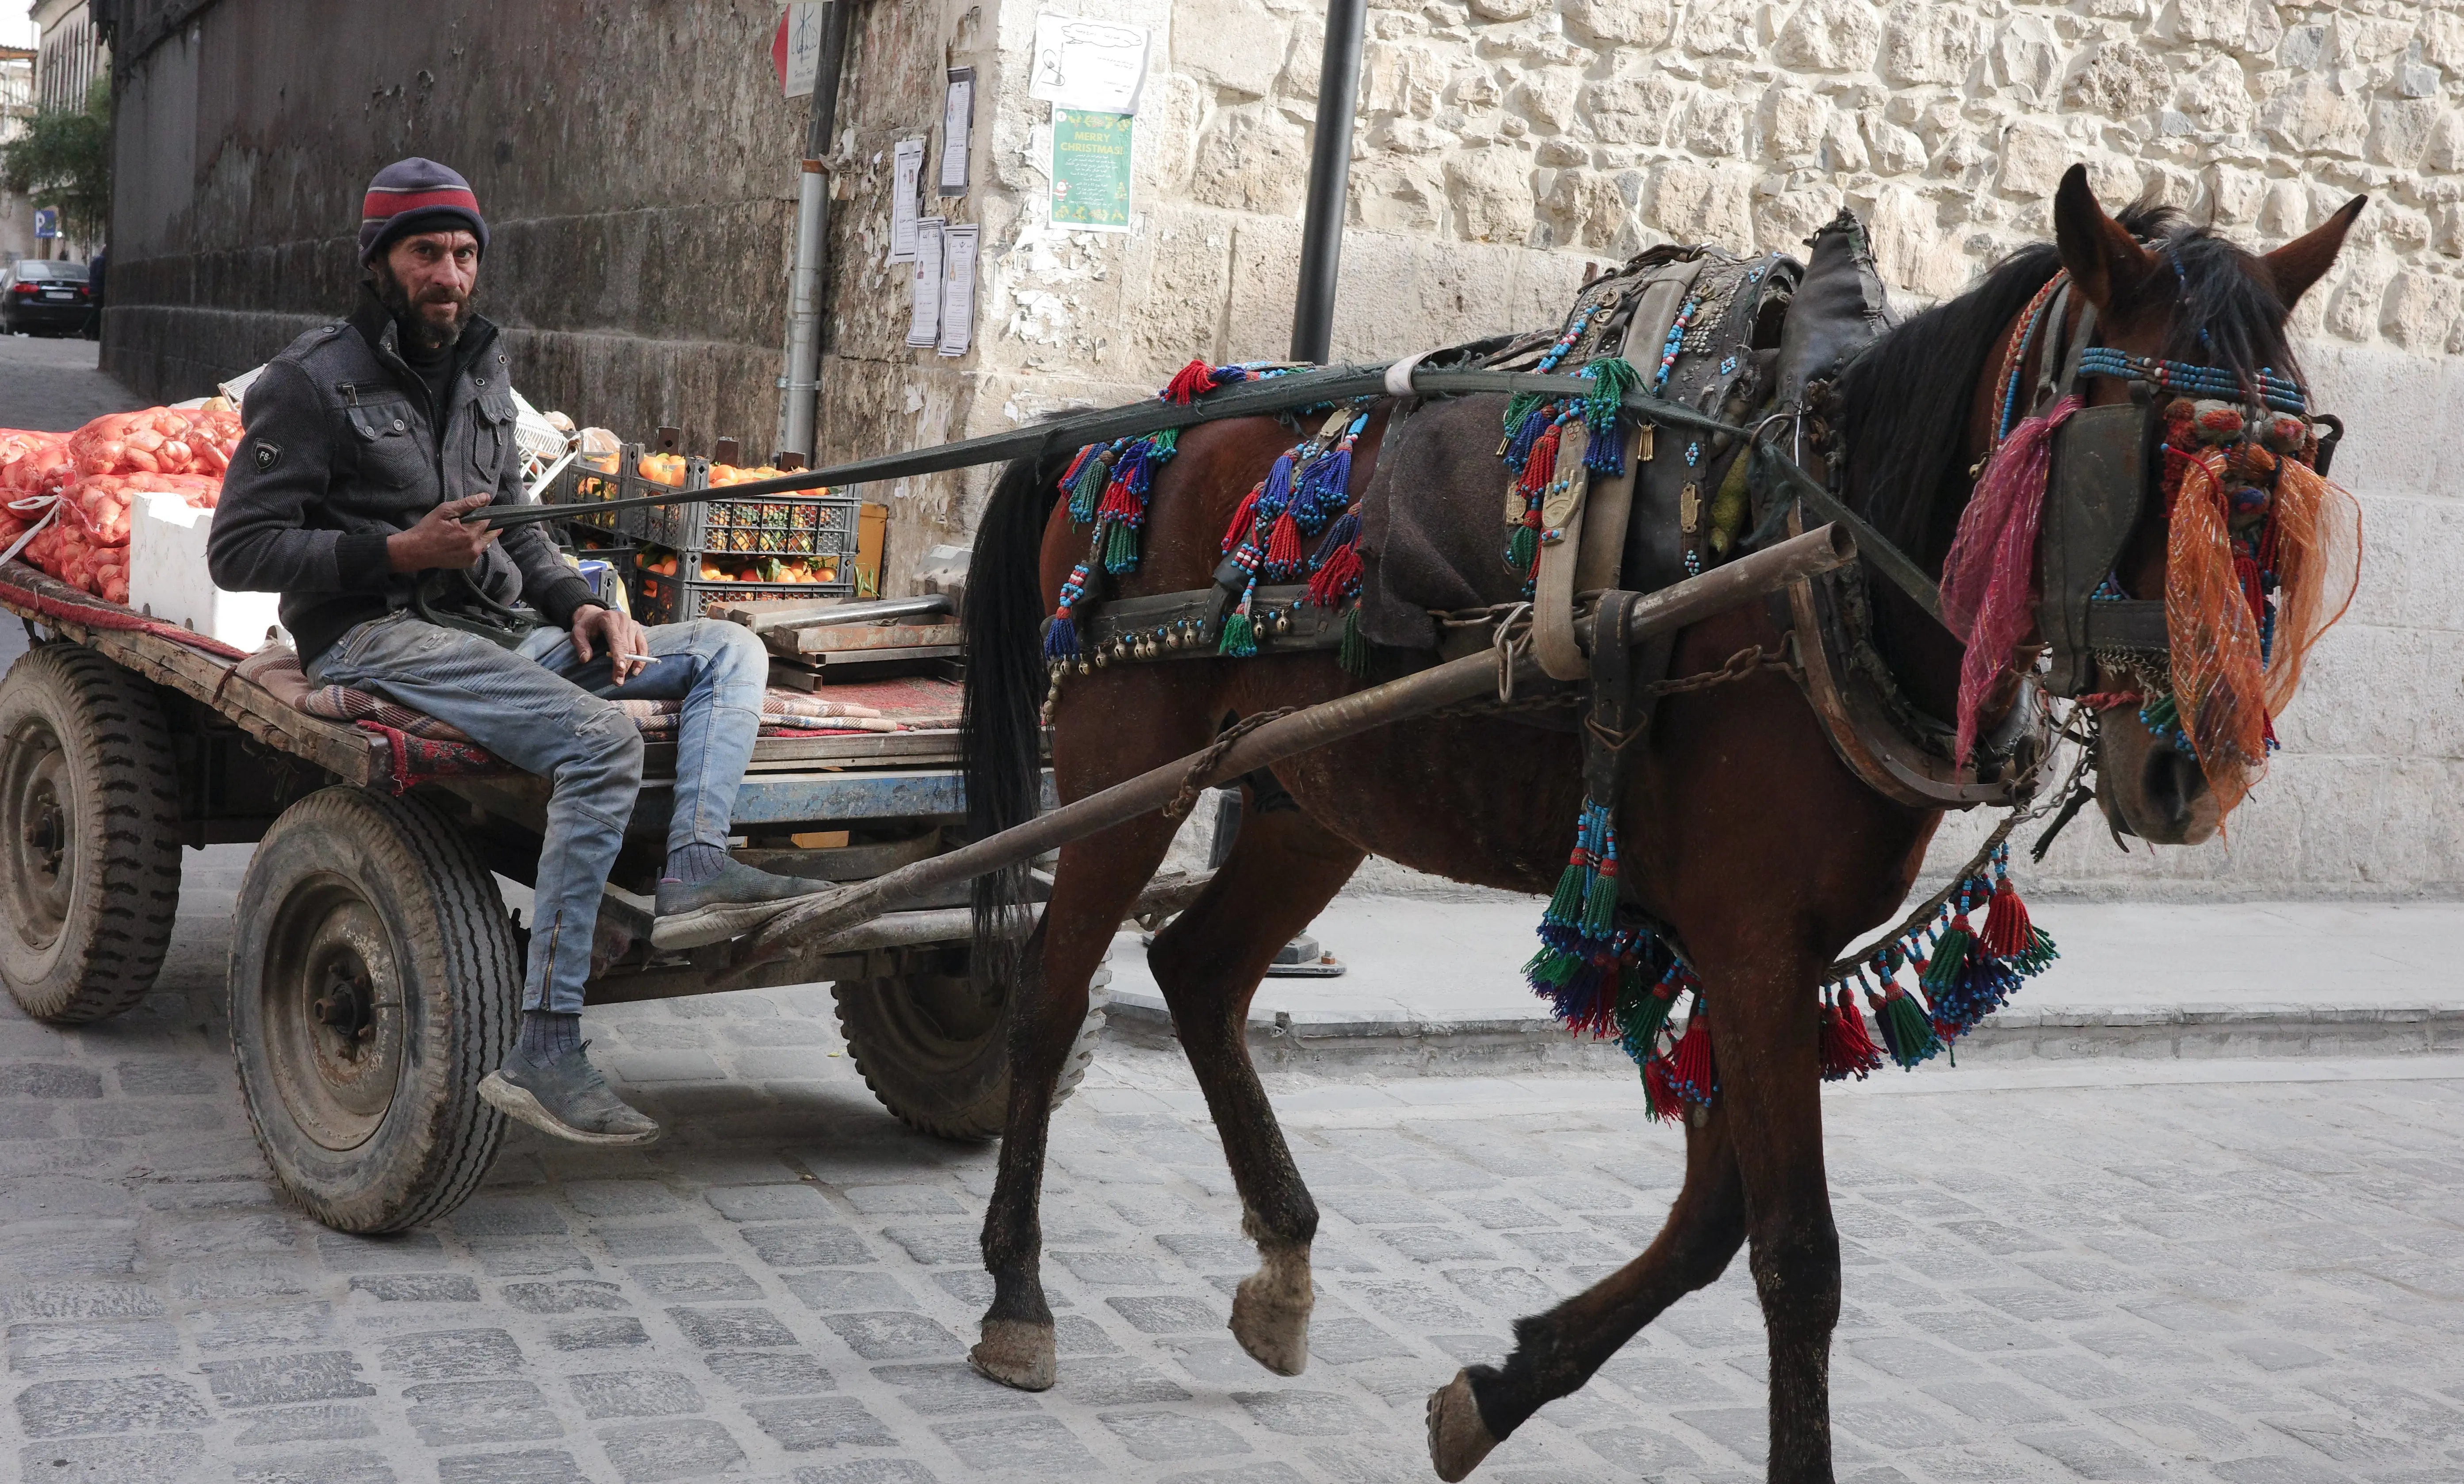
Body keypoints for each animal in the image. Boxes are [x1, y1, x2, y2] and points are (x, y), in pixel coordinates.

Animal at [956, 166, 2363, 1481]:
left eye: (2301, 466)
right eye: (2137, 454)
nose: (2193, 769)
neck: (1817, 550)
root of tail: (1115, 432)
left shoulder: (1752, 946)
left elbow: (1711, 1218)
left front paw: (1498, 1387)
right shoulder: (1747, 939)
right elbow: (1794, 1249)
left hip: (1312, 790)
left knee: (1195, 970)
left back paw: (1283, 1266)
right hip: (1122, 755)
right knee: (1048, 996)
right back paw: (1017, 1294)